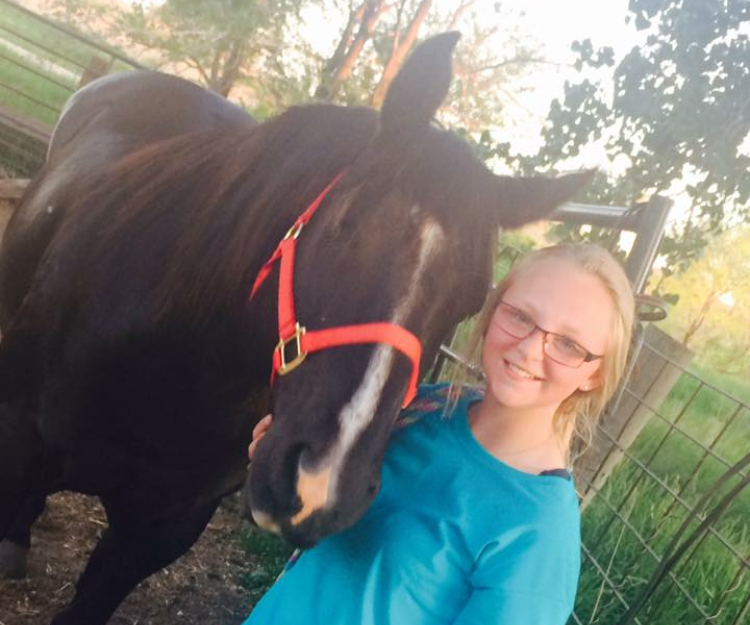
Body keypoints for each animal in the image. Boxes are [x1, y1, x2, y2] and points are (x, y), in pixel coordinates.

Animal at [0, 32, 590, 625]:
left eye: (471, 298)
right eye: (345, 224)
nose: (320, 485)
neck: (175, 363)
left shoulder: (162, 529)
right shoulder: (19, 445)